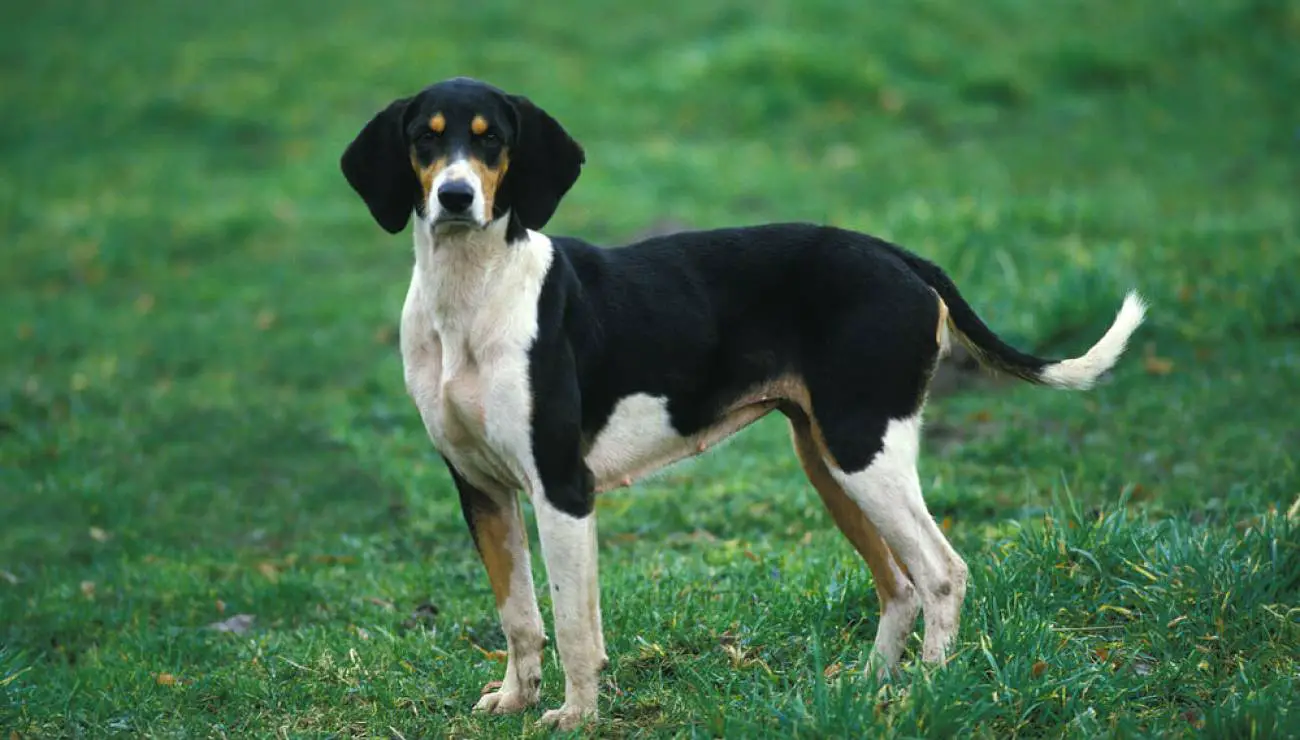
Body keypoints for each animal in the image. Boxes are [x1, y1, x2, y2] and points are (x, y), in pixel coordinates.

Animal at [340, 76, 1144, 728]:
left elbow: (571, 622)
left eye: (492, 141)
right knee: (898, 586)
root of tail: (899, 257)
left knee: (941, 574)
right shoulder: (481, 490)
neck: (473, 300)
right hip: (828, 462)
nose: (455, 197)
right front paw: (514, 700)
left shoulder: (561, 489)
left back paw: (925, 692)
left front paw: (577, 715)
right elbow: (518, 614)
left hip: (865, 452)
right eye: (424, 139)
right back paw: (867, 688)